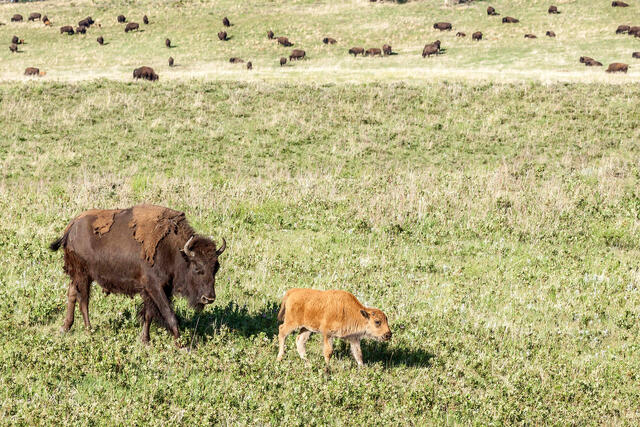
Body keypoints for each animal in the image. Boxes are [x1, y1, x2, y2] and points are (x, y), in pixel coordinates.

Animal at [49, 205, 226, 345]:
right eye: (197, 268)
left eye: (216, 267)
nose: (209, 298)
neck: (174, 250)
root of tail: (72, 226)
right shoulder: (154, 287)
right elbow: (169, 313)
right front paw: (181, 344)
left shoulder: (153, 290)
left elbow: (148, 314)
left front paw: (145, 340)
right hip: (83, 275)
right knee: (83, 301)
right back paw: (89, 331)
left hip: (77, 275)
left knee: (72, 294)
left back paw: (65, 328)